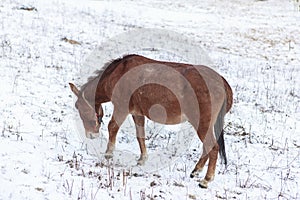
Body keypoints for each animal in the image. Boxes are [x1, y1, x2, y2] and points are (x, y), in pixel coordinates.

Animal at [69, 54, 233, 188]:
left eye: (80, 107)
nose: (91, 135)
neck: (118, 72)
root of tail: (221, 81)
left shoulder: (121, 108)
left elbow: (113, 127)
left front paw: (108, 154)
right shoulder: (137, 114)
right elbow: (140, 136)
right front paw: (142, 159)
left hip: (201, 122)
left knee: (213, 147)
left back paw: (206, 179)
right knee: (207, 147)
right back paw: (196, 170)